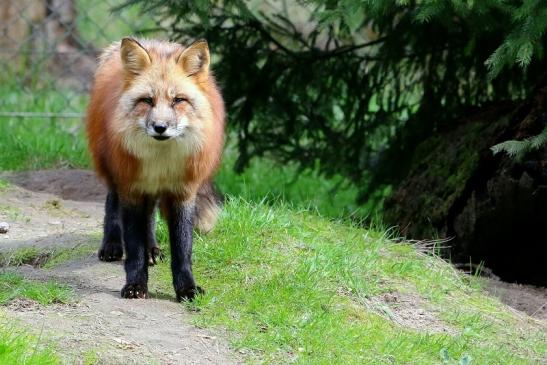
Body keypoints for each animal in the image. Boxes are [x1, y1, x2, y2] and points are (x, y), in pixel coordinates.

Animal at [88, 38, 225, 300]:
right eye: (147, 101)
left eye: (178, 100)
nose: (160, 127)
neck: (161, 161)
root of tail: (153, 42)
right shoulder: (131, 188)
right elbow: (134, 248)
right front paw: (135, 285)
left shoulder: (183, 191)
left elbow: (182, 248)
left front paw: (187, 288)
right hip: (115, 170)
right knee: (112, 202)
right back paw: (111, 244)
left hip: (152, 190)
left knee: (150, 215)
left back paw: (152, 248)